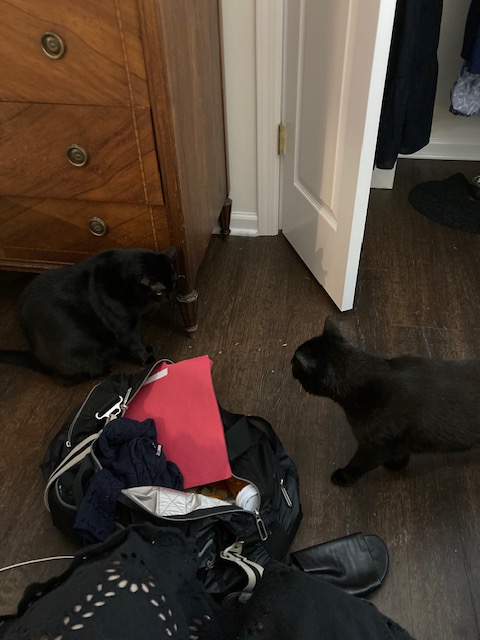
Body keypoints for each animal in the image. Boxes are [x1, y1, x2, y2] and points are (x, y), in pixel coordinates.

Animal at [0, 247, 178, 385]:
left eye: (174, 282)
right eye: (160, 291)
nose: (171, 295)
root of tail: (38, 359)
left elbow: (138, 339)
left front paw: (147, 349)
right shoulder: (123, 328)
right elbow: (134, 344)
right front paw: (149, 360)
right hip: (97, 351)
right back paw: (106, 371)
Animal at [292, 316, 480, 486]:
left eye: (295, 363)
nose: (290, 363)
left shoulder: (374, 446)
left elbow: (358, 464)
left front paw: (343, 476)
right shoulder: (396, 443)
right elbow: (401, 454)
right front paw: (395, 465)